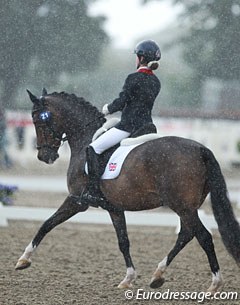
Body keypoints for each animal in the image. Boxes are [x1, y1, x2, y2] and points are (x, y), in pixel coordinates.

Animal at [15, 88, 240, 292]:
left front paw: (23, 260)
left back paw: (214, 284)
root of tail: (201, 149)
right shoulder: (114, 208)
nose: (44, 157)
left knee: (204, 237)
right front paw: (128, 279)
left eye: (37, 120)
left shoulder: (78, 200)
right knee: (186, 235)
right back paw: (157, 275)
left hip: (182, 206)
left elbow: (47, 223)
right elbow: (123, 241)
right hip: (187, 206)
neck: (86, 137)